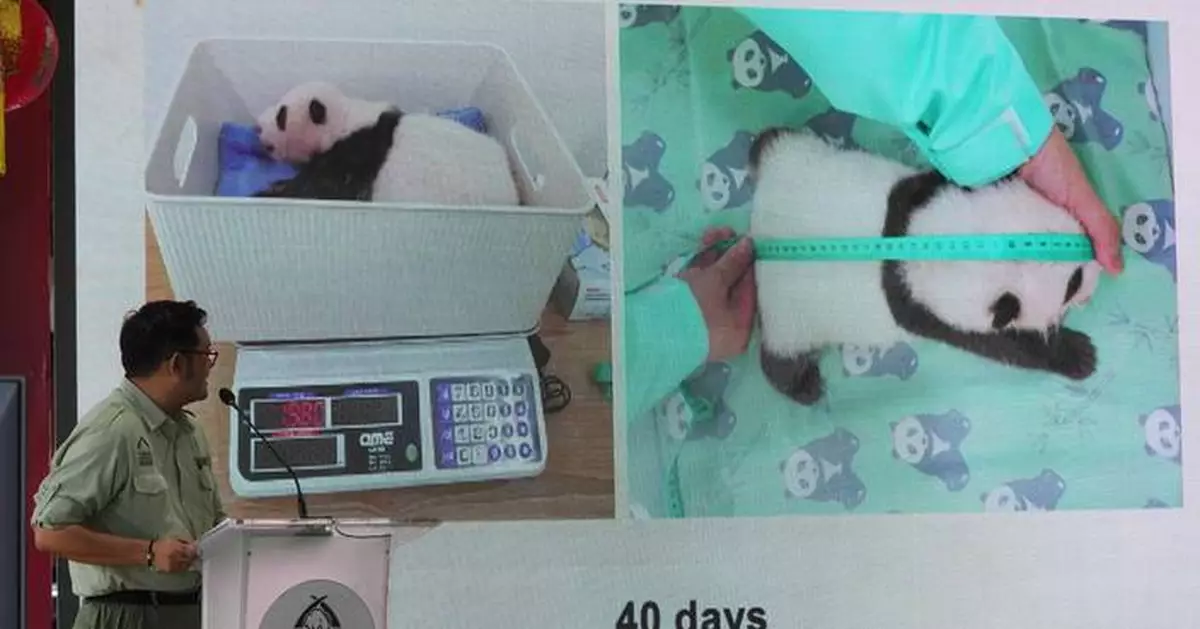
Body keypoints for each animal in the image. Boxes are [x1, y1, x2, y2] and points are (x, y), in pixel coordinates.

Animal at [252, 81, 520, 207]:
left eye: (281, 116)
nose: (258, 127)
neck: (344, 120)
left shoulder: (355, 155)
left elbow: (320, 191)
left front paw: (269, 191)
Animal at [748, 128, 1102, 405]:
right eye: (1073, 283)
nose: (1096, 272)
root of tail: (758, 231)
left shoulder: (922, 191)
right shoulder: (928, 312)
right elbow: (1004, 344)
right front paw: (1078, 354)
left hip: (797, 157)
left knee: (776, 140)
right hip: (792, 316)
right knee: (784, 353)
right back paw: (801, 384)